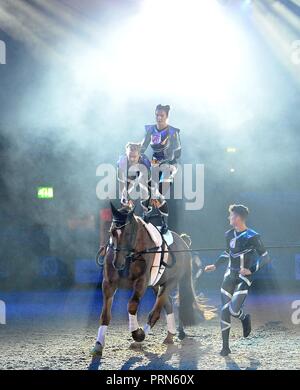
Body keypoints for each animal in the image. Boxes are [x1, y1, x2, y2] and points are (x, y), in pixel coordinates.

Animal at [91, 204, 204, 356]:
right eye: (112, 232)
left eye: (128, 233)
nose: (117, 263)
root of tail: (183, 242)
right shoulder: (108, 284)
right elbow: (105, 315)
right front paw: (98, 344)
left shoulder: (141, 283)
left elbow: (132, 305)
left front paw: (137, 333)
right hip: (157, 285)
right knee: (168, 305)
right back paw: (170, 335)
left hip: (170, 282)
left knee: (156, 312)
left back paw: (141, 339)